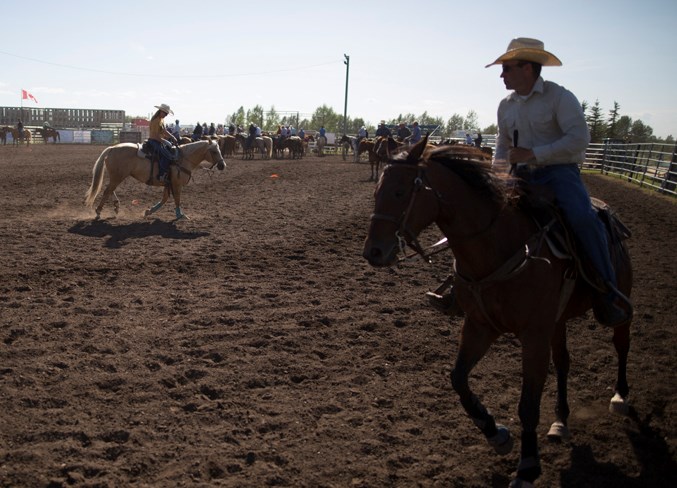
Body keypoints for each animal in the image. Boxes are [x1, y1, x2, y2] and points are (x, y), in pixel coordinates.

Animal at [85, 138, 224, 220]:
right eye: (214, 151)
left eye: (219, 150)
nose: (223, 165)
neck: (182, 159)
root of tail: (112, 148)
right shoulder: (176, 184)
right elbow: (177, 199)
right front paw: (180, 215)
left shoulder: (168, 184)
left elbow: (164, 199)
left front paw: (149, 211)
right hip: (118, 176)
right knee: (107, 191)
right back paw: (99, 211)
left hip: (117, 176)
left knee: (109, 189)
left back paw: (116, 206)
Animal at [362, 139, 632, 486]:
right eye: (376, 191)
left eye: (399, 192)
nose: (373, 252)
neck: (499, 246)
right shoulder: (479, 326)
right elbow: (458, 379)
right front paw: (496, 434)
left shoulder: (533, 336)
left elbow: (528, 404)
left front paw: (527, 466)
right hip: (556, 323)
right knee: (563, 362)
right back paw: (560, 421)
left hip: (620, 303)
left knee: (621, 344)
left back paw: (620, 397)